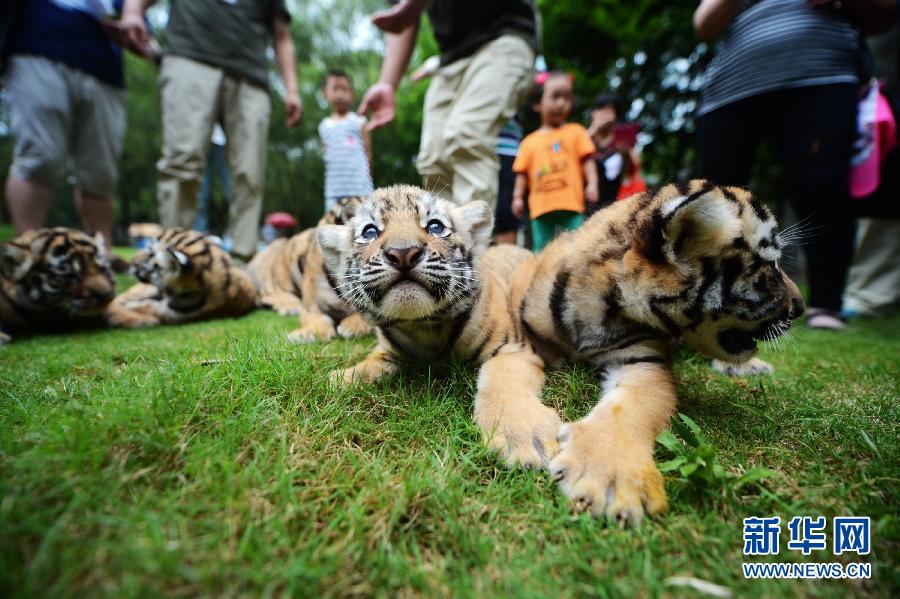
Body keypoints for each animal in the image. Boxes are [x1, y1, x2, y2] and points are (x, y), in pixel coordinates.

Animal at [247, 196, 373, 343]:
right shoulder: (311, 306)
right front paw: (307, 333)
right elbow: (316, 319)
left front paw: (353, 326)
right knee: (268, 294)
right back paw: (290, 307)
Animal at [319, 186, 563, 463]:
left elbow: (503, 382)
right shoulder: (388, 351)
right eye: (370, 231)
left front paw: (523, 434)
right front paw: (341, 377)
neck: (423, 326)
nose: (403, 252)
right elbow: (370, 363)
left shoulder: (511, 350)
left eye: (435, 226)